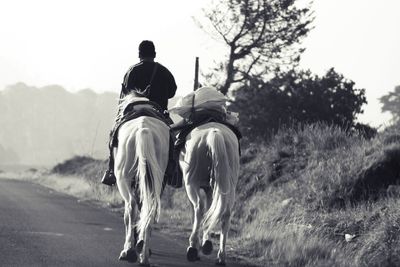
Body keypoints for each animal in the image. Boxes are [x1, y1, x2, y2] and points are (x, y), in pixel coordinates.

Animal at [113, 94, 170, 266]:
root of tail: (143, 129)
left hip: (123, 178)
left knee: (130, 208)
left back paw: (129, 251)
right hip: (156, 180)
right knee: (148, 209)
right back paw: (143, 255)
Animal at [179, 123, 241, 266]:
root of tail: (214, 133)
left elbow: (198, 211)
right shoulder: (209, 189)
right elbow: (210, 212)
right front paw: (206, 242)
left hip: (191, 184)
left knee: (199, 208)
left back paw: (192, 248)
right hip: (229, 186)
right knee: (224, 214)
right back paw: (220, 256)